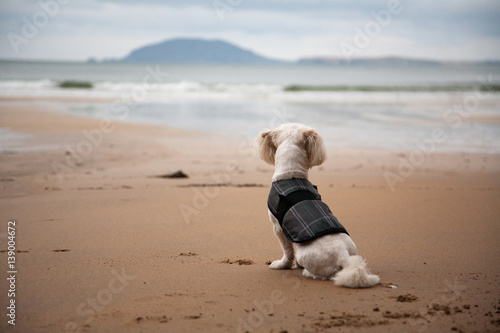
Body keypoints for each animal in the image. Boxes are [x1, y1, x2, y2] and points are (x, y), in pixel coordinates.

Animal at [258, 123, 378, 286]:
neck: (291, 173)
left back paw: (308, 272)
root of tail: (343, 255)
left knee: (323, 275)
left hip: (305, 254)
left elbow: (287, 251)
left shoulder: (278, 227)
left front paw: (282, 264)